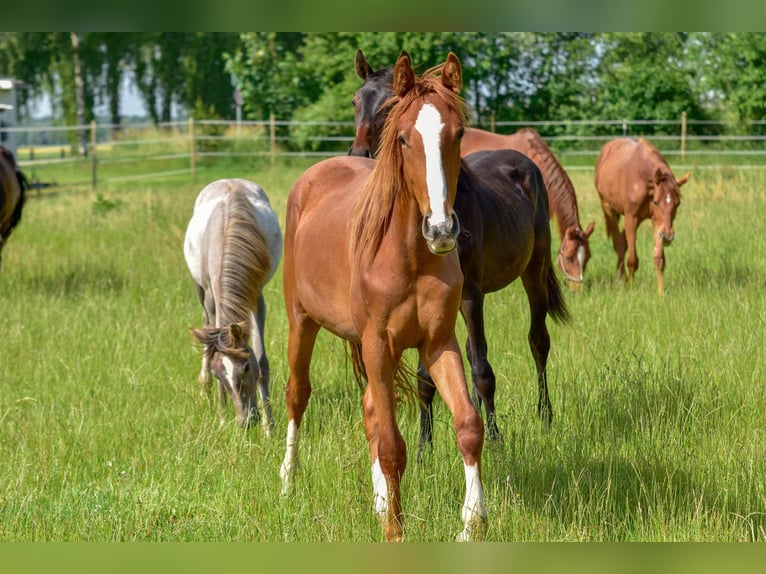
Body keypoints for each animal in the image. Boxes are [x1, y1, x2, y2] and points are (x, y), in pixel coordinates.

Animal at [183, 178, 283, 433]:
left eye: (246, 368)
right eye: (220, 375)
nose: (244, 422)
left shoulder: (257, 298)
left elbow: (262, 361)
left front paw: (269, 426)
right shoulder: (211, 299)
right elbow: (212, 346)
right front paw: (220, 420)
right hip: (199, 290)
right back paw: (204, 388)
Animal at [280, 52, 487, 541]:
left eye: (459, 133)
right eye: (405, 138)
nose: (440, 229)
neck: (407, 254)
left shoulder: (438, 343)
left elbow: (468, 426)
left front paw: (472, 523)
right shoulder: (377, 344)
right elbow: (393, 446)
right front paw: (396, 532)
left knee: (370, 409)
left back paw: (376, 502)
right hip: (302, 321)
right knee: (297, 394)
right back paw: (287, 482)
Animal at [350, 50, 570, 456]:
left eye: (388, 105)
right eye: (356, 101)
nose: (359, 153)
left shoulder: (470, 294)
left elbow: (482, 369)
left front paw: (494, 439)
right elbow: (429, 376)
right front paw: (425, 447)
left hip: (533, 271)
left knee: (537, 341)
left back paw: (545, 416)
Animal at [594, 138, 690, 296]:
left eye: (678, 203)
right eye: (656, 202)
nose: (668, 237)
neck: (643, 181)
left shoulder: (657, 223)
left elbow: (659, 259)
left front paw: (660, 293)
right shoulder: (631, 218)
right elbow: (632, 260)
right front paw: (631, 289)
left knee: (622, 241)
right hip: (608, 209)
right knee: (618, 243)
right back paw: (620, 279)